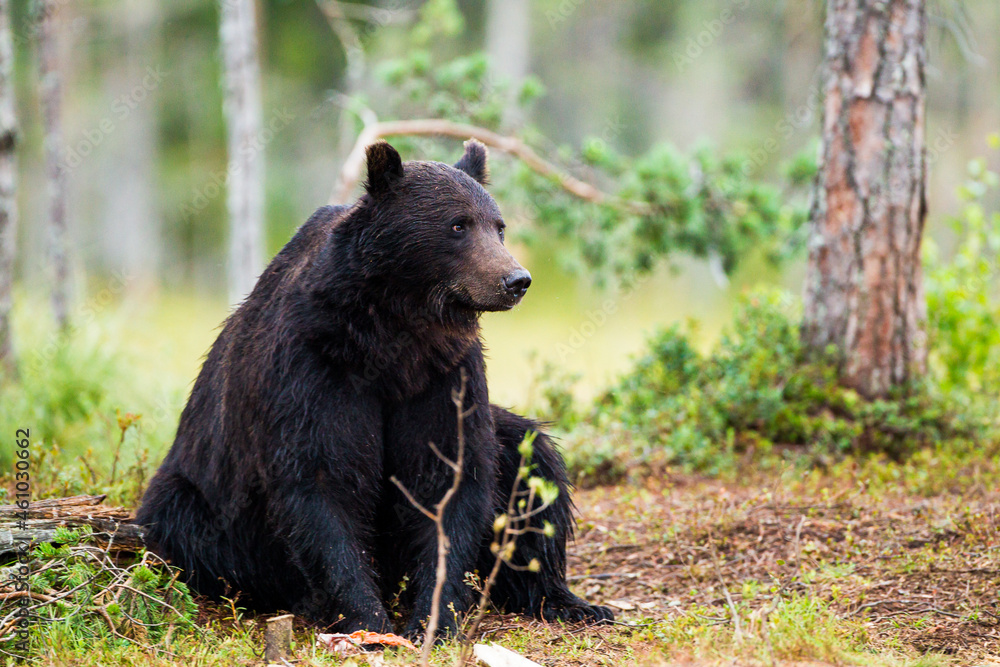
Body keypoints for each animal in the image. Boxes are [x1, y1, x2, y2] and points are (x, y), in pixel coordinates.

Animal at [135, 139, 613, 639]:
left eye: (498, 226)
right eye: (458, 224)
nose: (515, 280)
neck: (390, 336)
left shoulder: (444, 374)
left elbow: (450, 476)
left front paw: (434, 617)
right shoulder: (314, 369)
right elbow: (322, 483)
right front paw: (366, 618)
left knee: (533, 462)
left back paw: (569, 601)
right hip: (198, 499)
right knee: (189, 525)